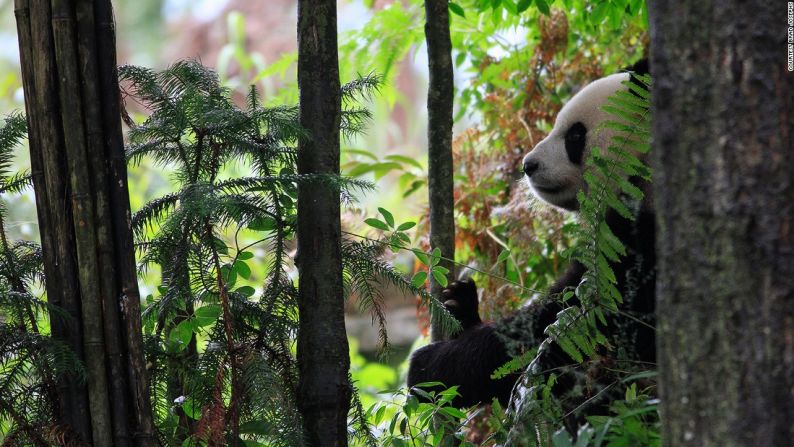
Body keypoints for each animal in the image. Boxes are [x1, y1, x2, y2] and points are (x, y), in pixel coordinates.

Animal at [406, 61, 652, 422]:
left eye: (575, 135)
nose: (528, 165)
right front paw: (460, 304)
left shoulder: (635, 247)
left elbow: (554, 332)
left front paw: (430, 368)